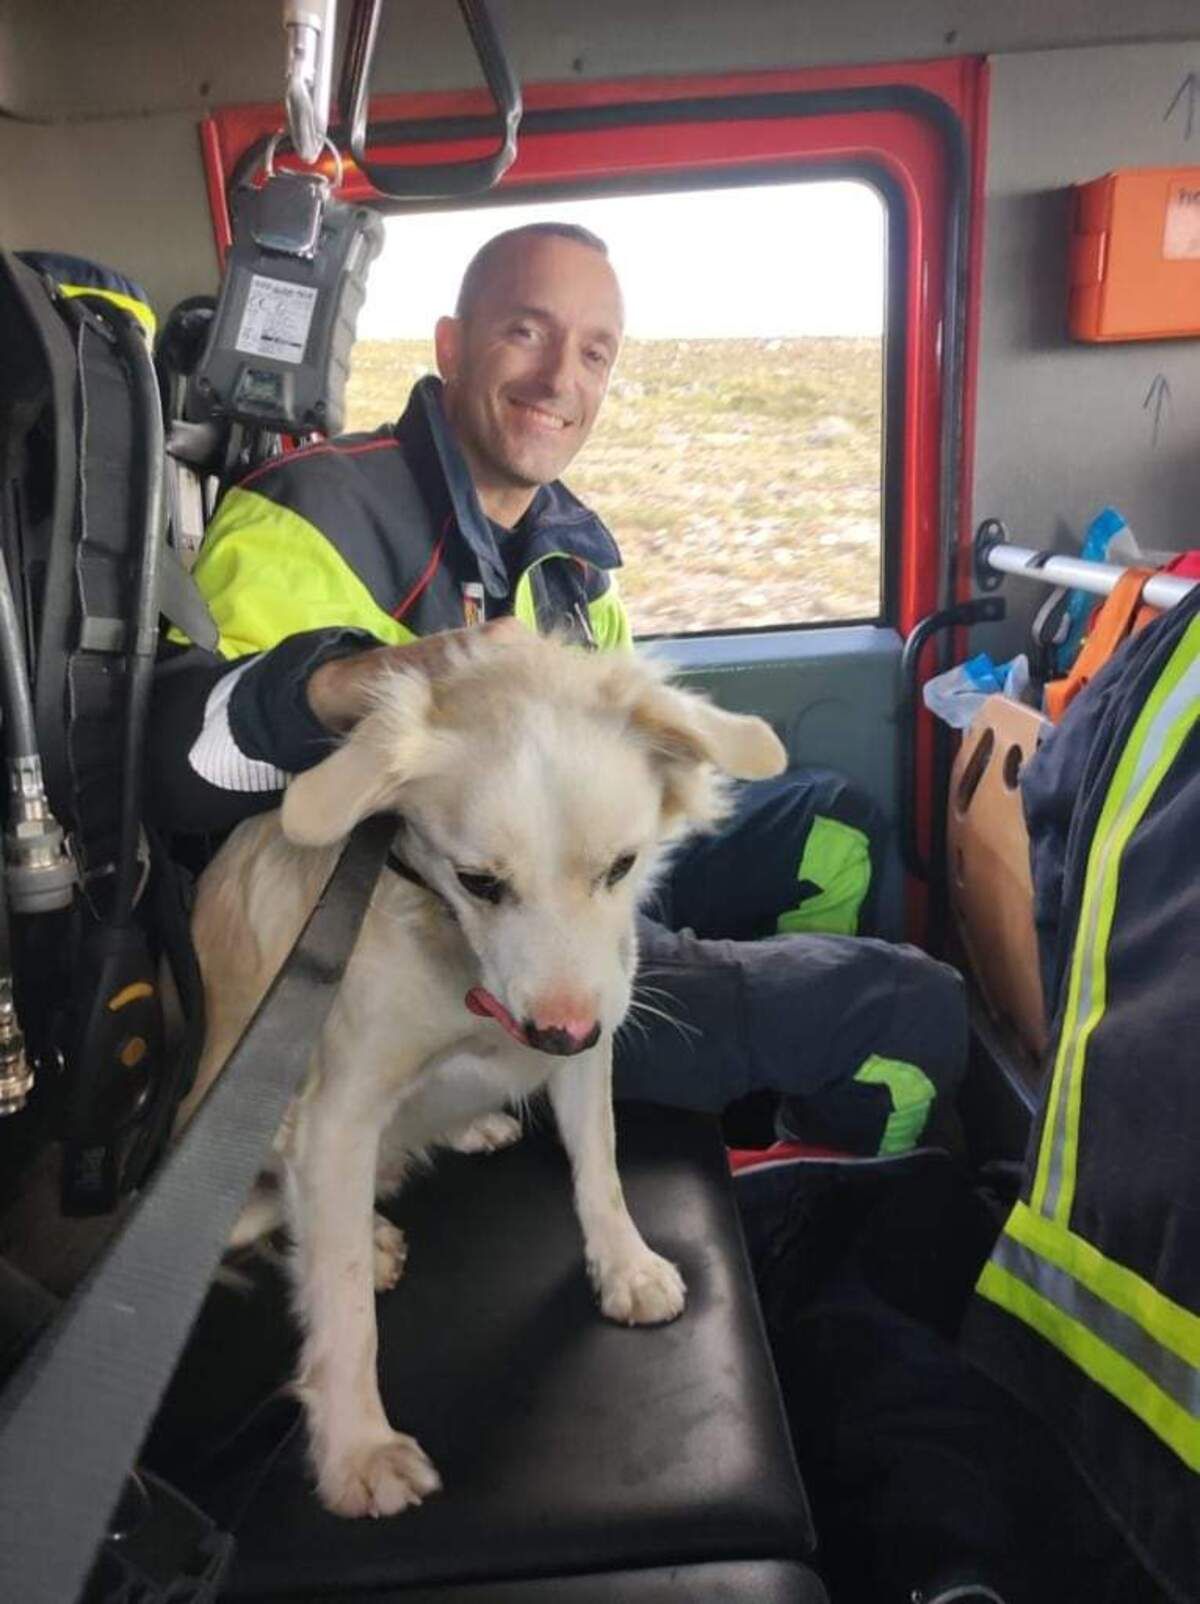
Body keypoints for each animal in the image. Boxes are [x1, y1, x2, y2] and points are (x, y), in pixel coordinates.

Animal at [185, 625, 786, 1514]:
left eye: (621, 866)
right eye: (478, 882)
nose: (558, 1036)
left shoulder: (590, 1032)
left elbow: (600, 1169)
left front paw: (624, 1264)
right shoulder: (336, 1113)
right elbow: (340, 1295)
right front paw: (357, 1448)